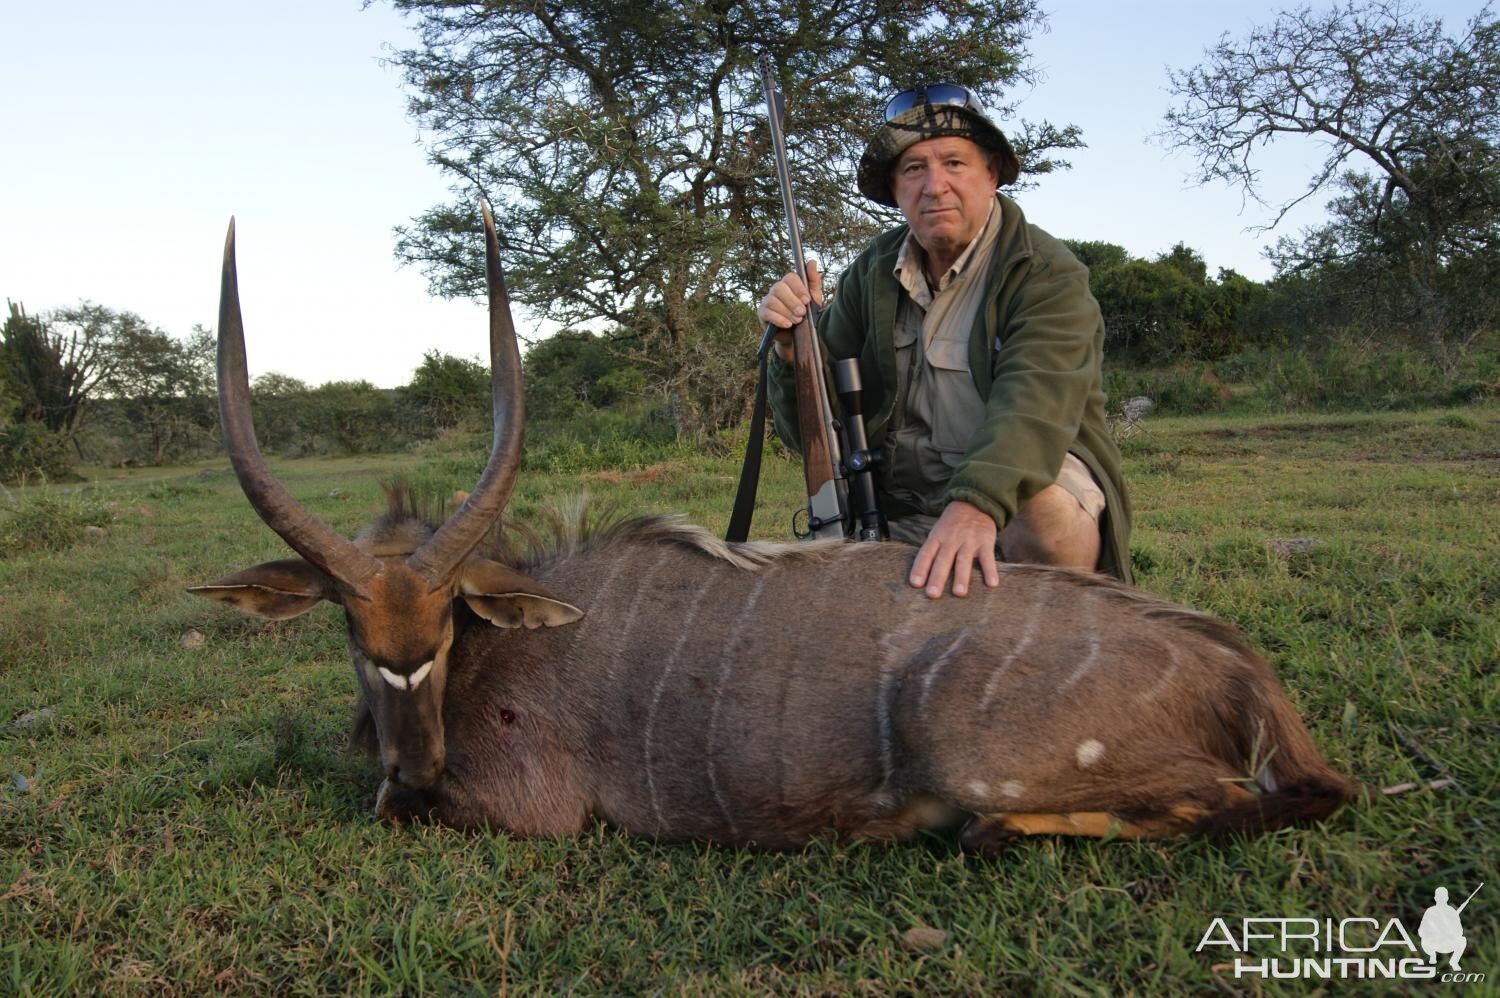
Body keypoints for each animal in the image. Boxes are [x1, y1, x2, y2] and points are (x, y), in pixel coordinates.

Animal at [190, 210, 1362, 846]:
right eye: (349, 626)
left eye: (439, 627)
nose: (416, 763)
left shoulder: (526, 809)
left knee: (1225, 798)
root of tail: (1246, 675)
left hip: (984, 749)